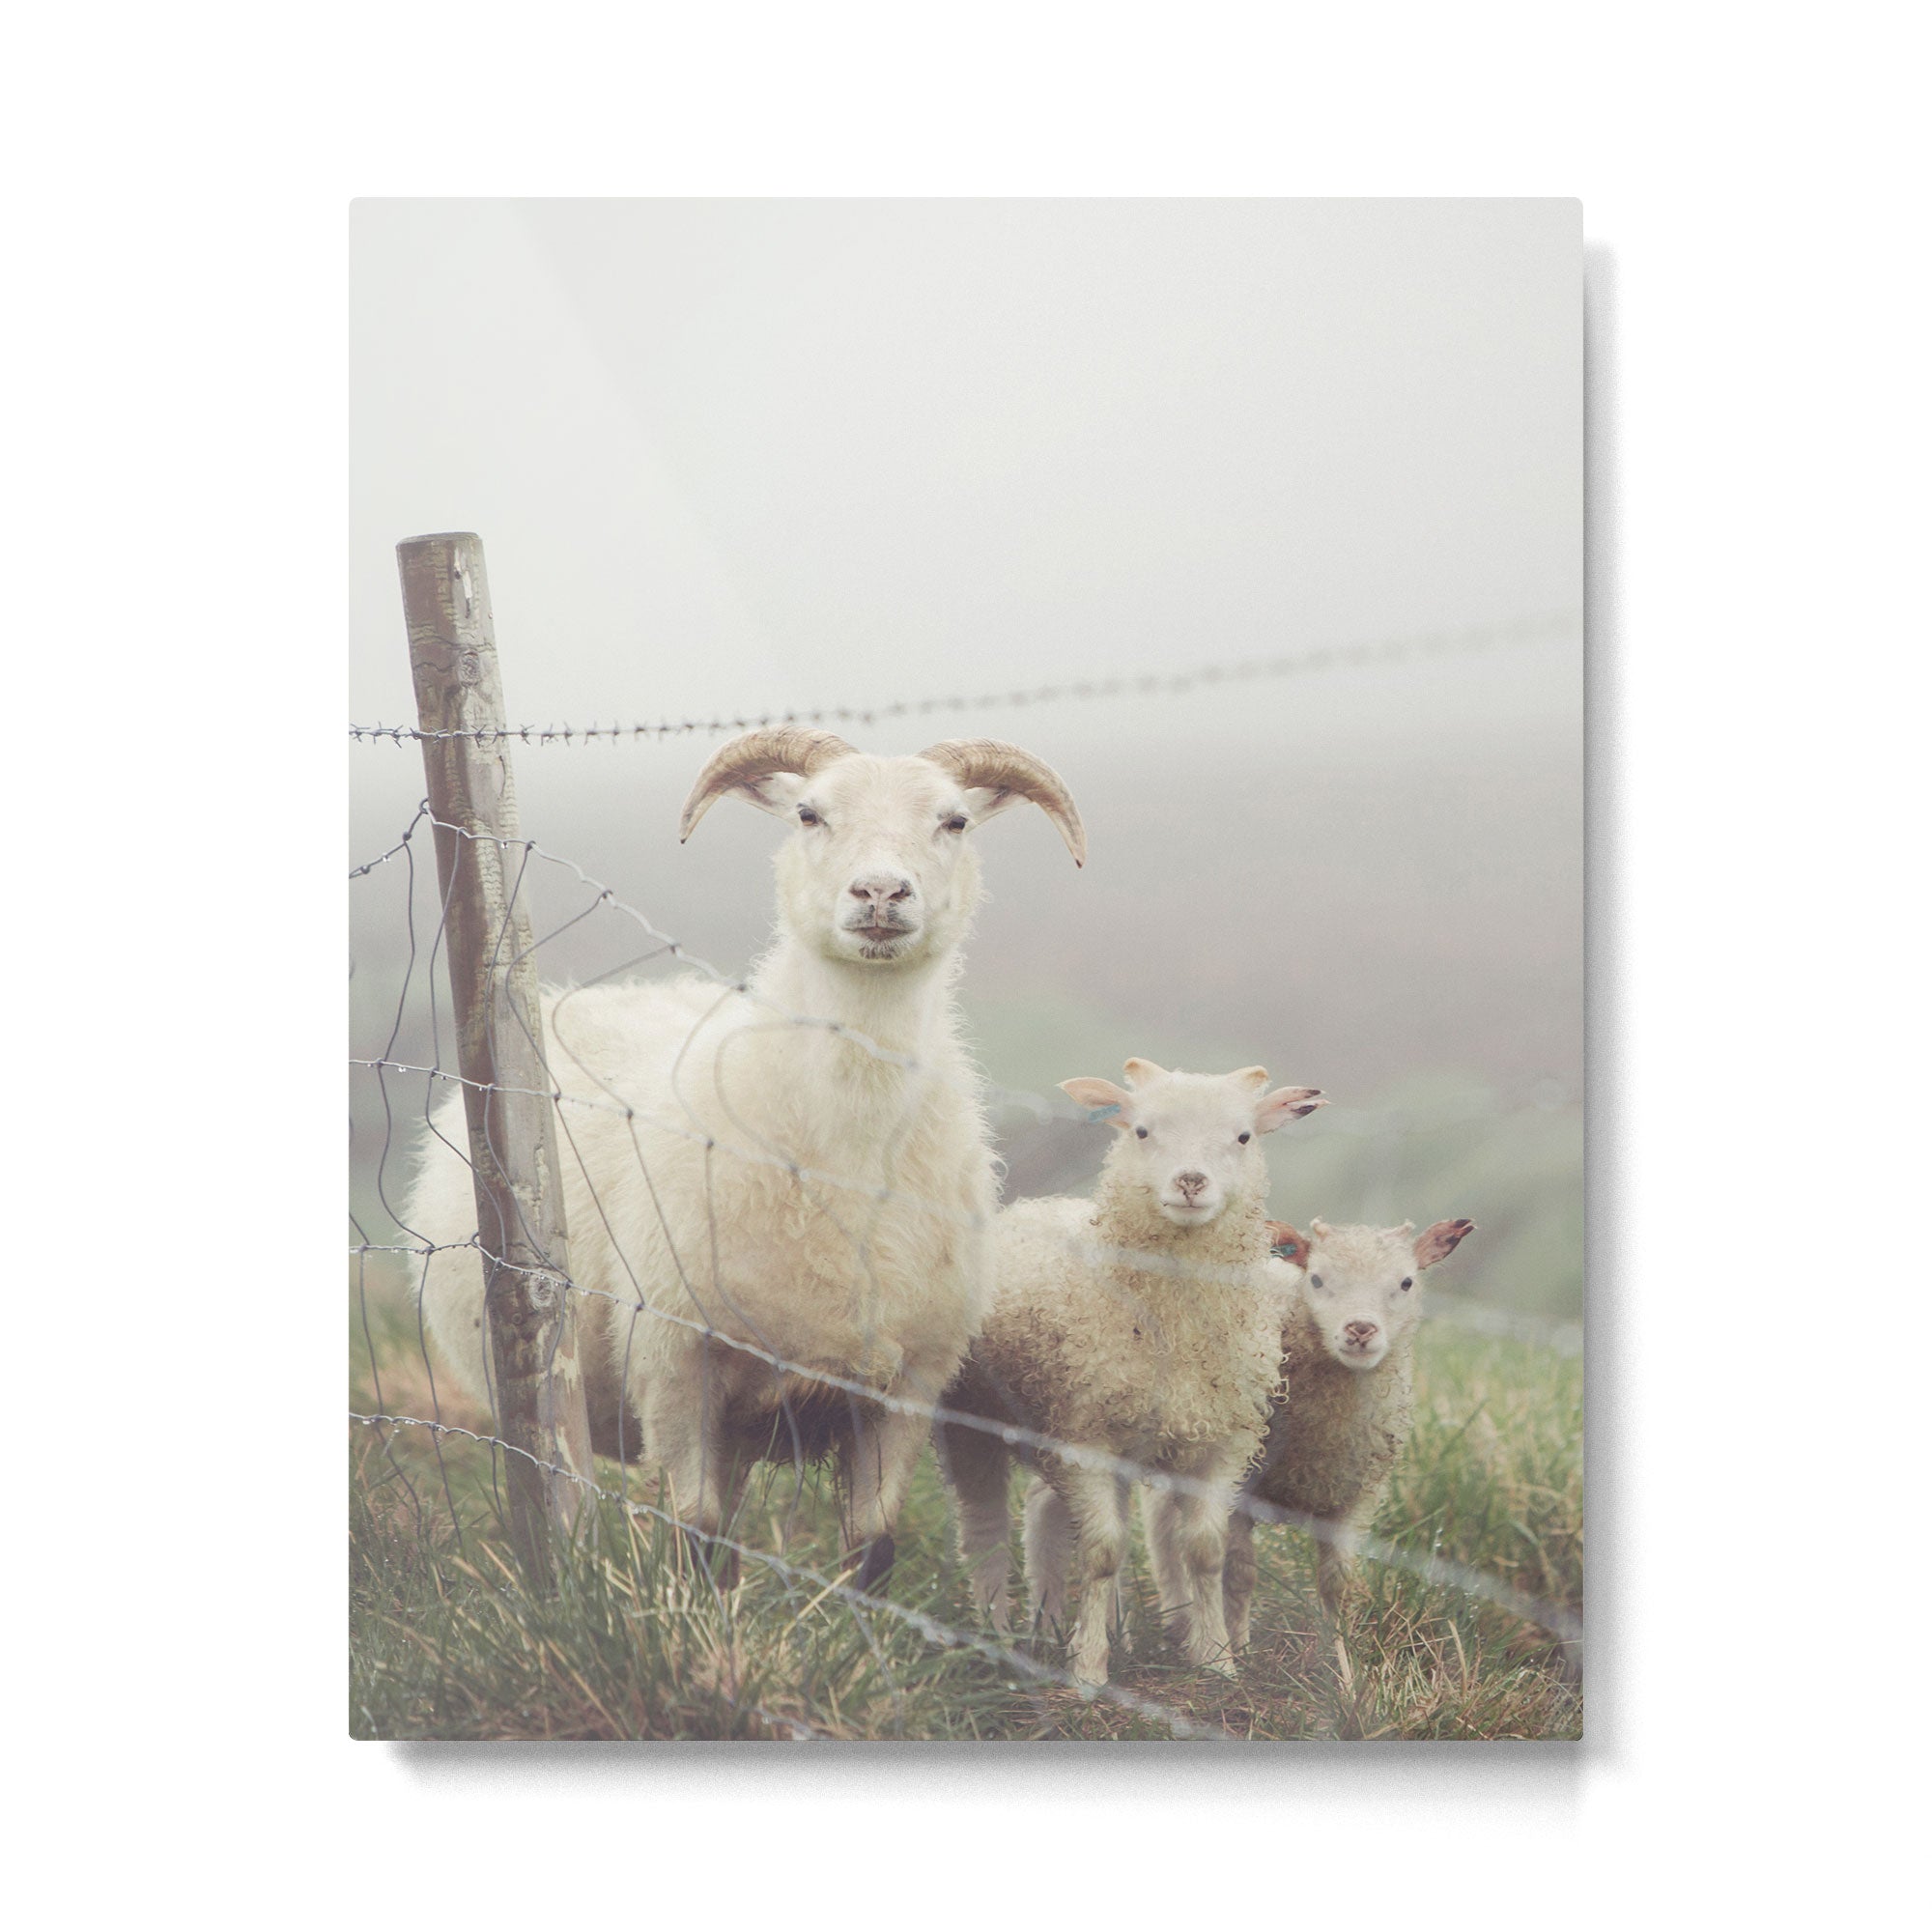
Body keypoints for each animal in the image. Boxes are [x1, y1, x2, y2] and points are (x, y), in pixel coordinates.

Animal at [404, 728, 1085, 1589]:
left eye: (955, 821)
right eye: (809, 813)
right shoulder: (675, 1363)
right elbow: (694, 1533)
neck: (844, 1153)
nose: (881, 893)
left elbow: (872, 1547)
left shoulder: (909, 1381)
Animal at [935, 1060, 1327, 1685]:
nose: (1190, 1181)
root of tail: (1031, 1206)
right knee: (984, 1530)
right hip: (971, 1420)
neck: (1173, 1319)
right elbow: (1102, 1552)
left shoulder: (1219, 1442)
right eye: (1142, 1131)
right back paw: (995, 1633)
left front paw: (1216, 1659)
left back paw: (1060, 1622)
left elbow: (1205, 1551)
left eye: (1243, 1137)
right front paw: (1089, 1670)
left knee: (1042, 1511)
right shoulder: (1086, 1438)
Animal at [1207, 1215, 1476, 1651]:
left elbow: (1337, 1585)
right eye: (1316, 1279)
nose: (1361, 1329)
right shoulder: (1241, 1487)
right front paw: (1240, 1648)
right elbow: (1239, 1576)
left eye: (1406, 1282)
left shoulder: (1352, 1501)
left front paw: (1341, 1655)